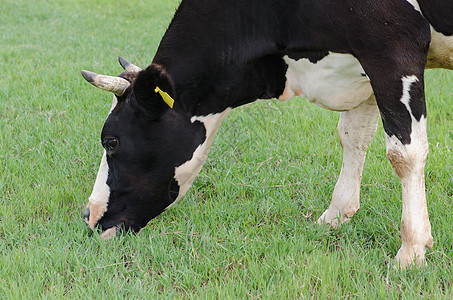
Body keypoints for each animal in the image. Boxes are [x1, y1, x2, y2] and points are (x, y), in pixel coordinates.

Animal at [81, 0, 452, 268]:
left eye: (111, 142)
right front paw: (336, 214)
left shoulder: (391, 47)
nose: (89, 216)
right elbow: (353, 135)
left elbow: (404, 153)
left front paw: (411, 250)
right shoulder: (361, 61)